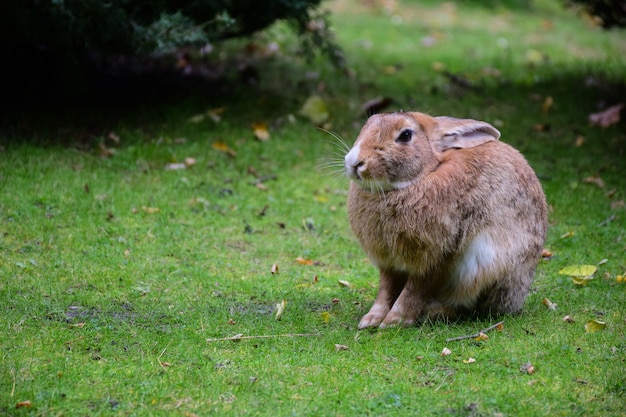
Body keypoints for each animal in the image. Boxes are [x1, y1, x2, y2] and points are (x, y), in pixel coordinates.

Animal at [344, 111, 544, 328]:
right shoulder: (389, 263)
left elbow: (414, 291)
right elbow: (386, 289)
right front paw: (370, 319)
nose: (354, 162)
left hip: (487, 265)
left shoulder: (437, 257)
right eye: (368, 124)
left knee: (466, 305)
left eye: (405, 135)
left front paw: (394, 321)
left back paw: (431, 312)